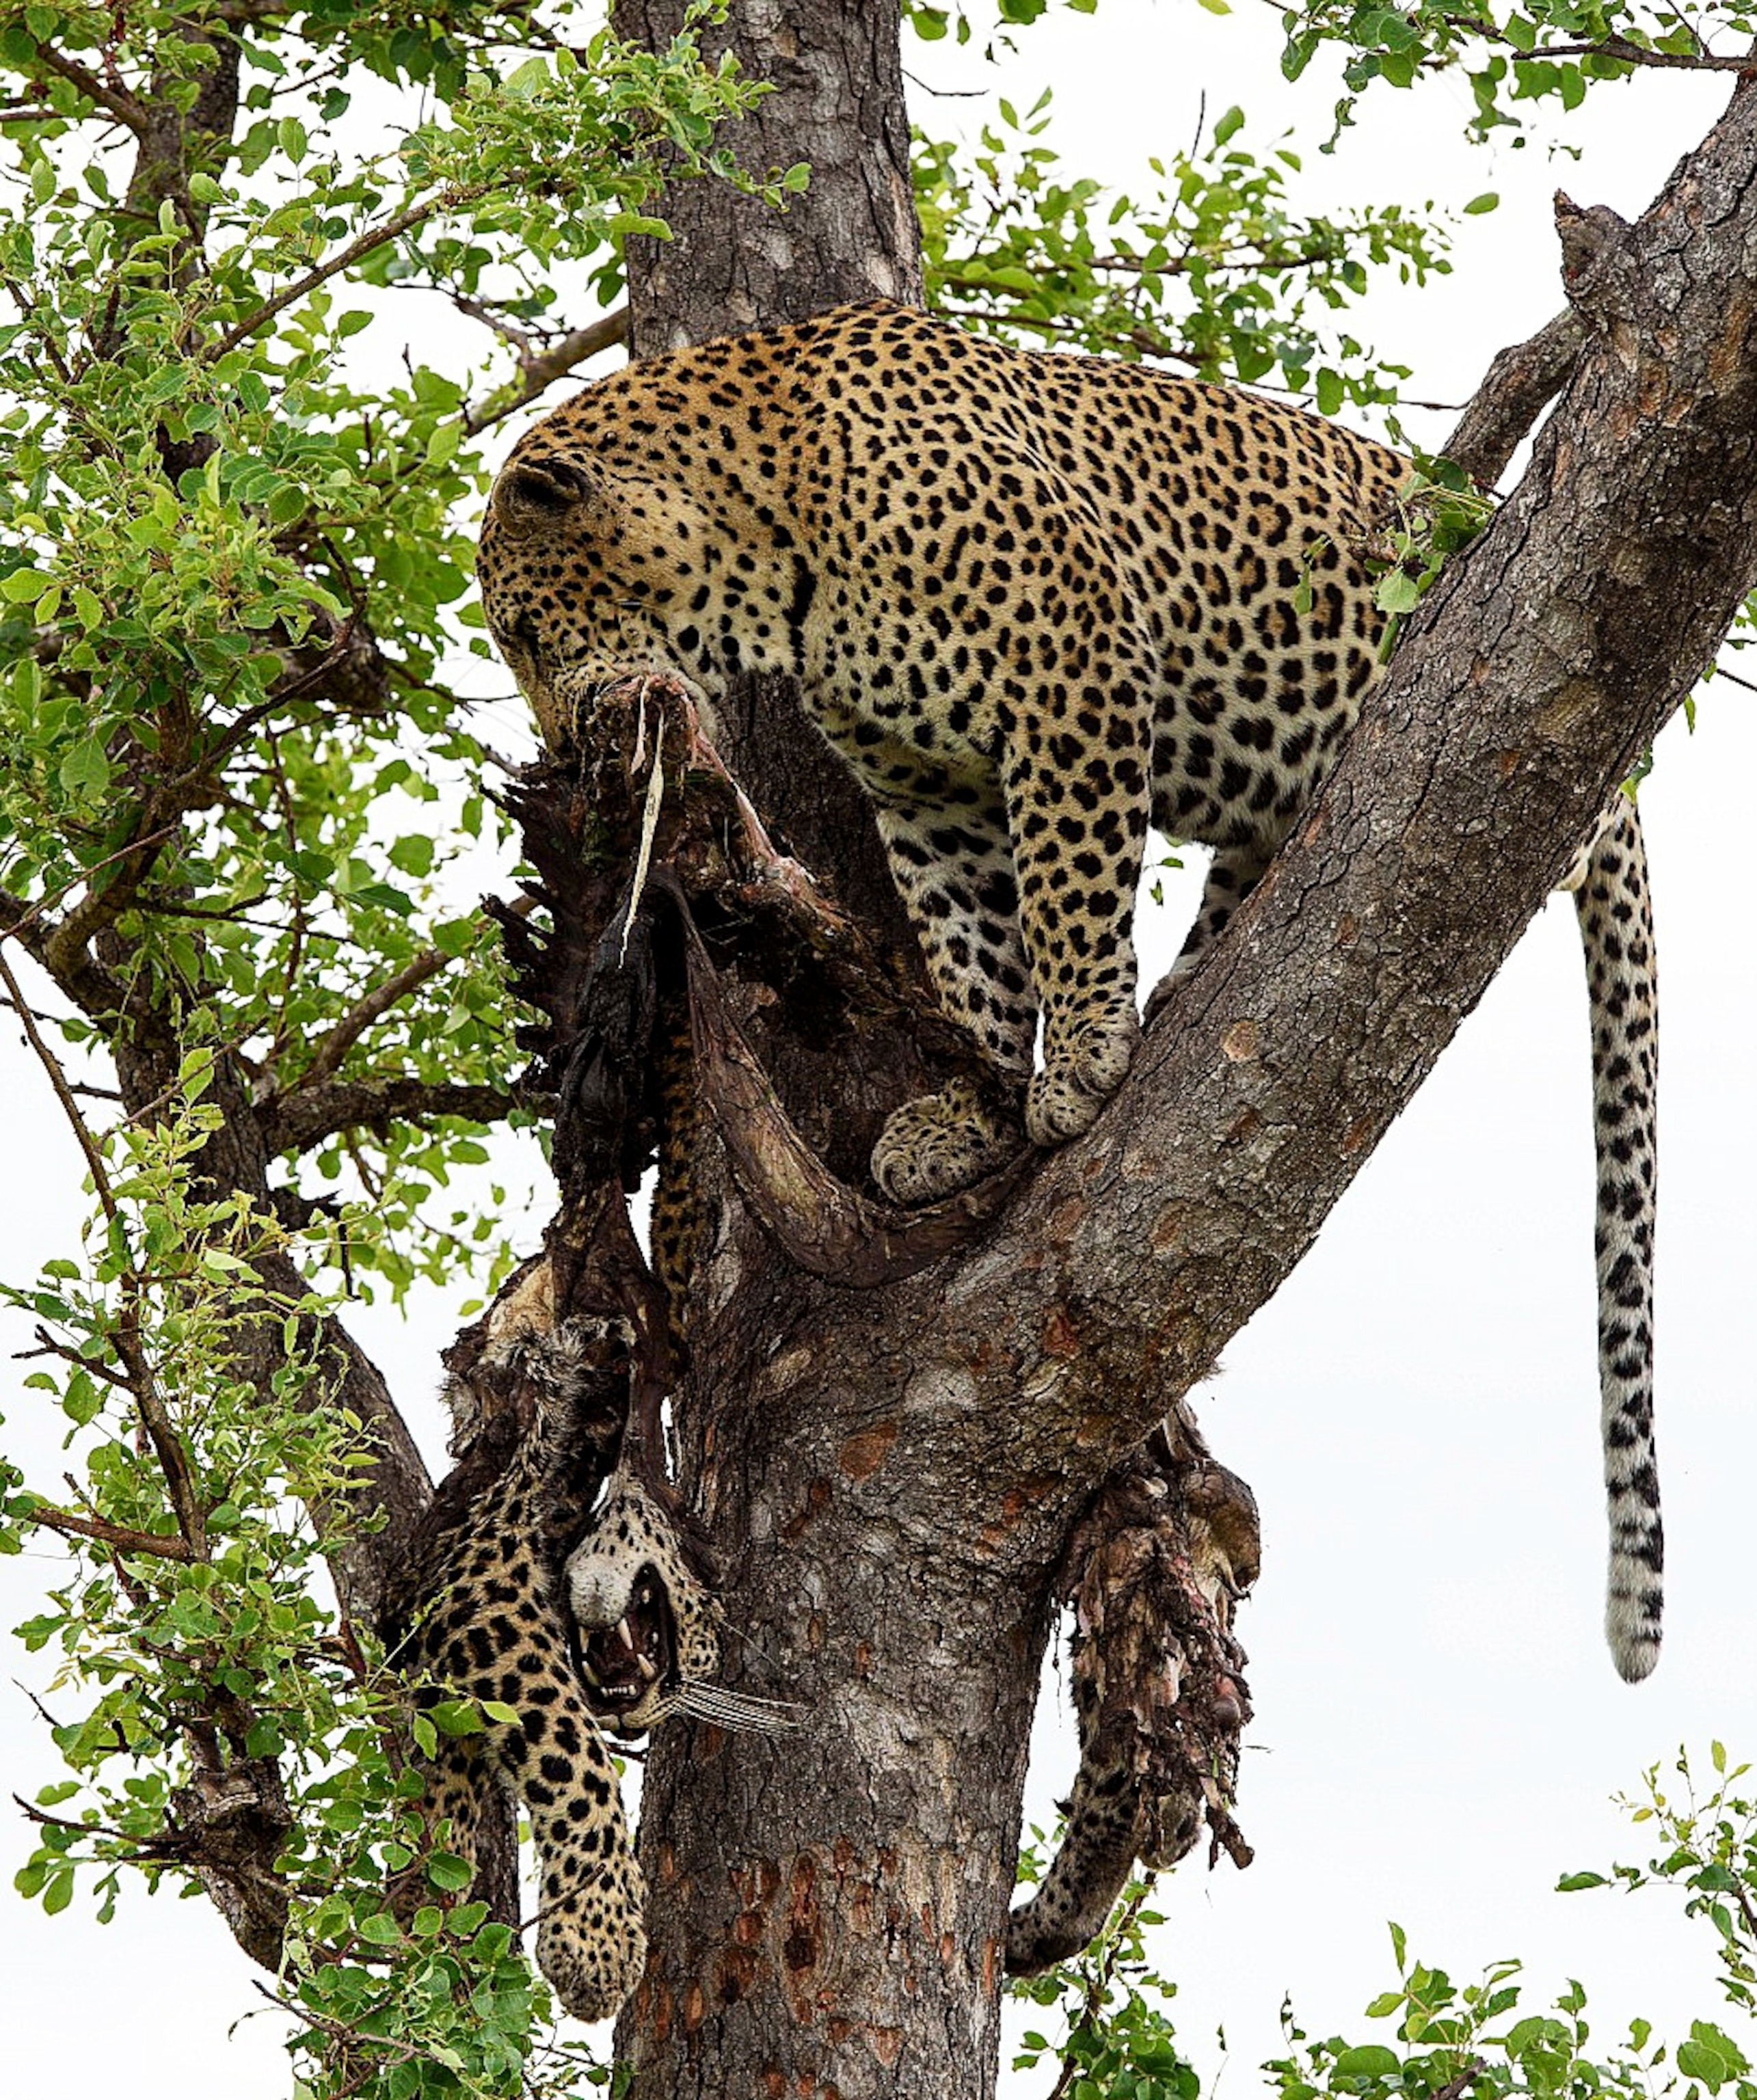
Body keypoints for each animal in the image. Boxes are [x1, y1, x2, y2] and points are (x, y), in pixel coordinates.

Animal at [474, 297, 1665, 1707]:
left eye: (526, 632)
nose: (566, 750)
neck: (772, 553)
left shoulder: (1070, 664)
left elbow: (1067, 883)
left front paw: (1086, 1054)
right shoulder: (924, 785)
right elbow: (970, 947)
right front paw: (974, 1112)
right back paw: (1196, 981)